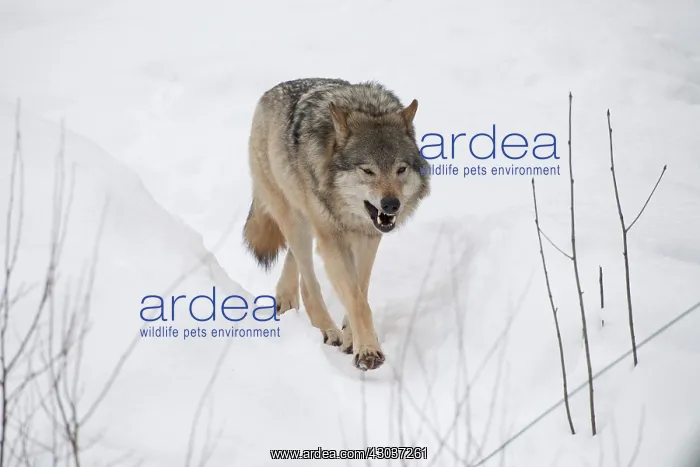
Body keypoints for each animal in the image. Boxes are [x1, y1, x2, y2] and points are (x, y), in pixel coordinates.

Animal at [243, 78, 431, 370]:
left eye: (400, 169)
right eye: (368, 171)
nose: (391, 204)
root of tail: (269, 93)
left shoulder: (368, 238)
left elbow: (360, 291)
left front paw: (354, 338)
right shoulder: (334, 240)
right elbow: (356, 299)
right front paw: (368, 350)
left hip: (307, 224)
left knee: (295, 264)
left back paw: (286, 300)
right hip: (296, 221)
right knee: (308, 282)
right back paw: (326, 330)